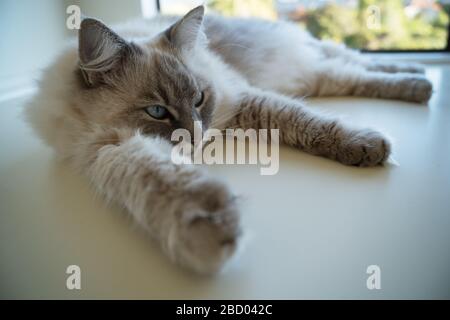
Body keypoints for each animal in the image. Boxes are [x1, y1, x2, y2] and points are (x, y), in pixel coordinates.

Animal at [25, 6, 432, 274]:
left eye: (199, 100)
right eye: (157, 112)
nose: (197, 136)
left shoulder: (242, 99)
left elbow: (306, 121)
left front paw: (365, 143)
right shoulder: (105, 148)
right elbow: (158, 180)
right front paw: (208, 225)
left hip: (314, 67)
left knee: (358, 66)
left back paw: (419, 81)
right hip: (316, 75)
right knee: (352, 70)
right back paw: (419, 78)